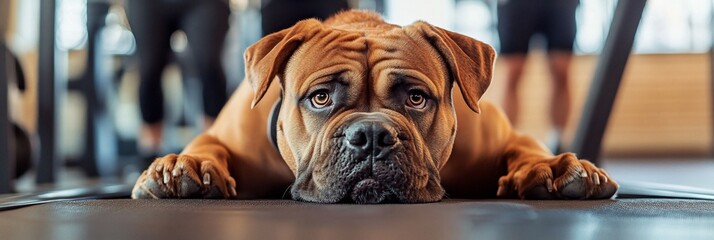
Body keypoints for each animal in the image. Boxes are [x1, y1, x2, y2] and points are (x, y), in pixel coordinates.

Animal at [131, 10, 616, 202]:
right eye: (320, 98)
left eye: (416, 98)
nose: (370, 136)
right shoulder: (225, 133)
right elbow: (208, 145)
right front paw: (185, 167)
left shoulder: (503, 134)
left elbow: (524, 148)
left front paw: (552, 168)